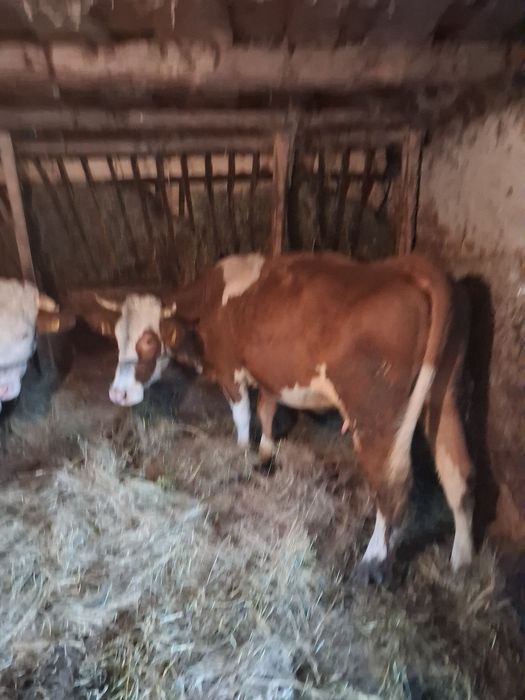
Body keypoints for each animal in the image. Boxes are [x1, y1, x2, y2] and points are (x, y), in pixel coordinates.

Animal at [78, 251, 474, 581]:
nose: (117, 393)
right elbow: (267, 412)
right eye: (117, 338)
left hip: (375, 414)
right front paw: (266, 453)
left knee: (392, 488)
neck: (211, 300)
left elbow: (242, 415)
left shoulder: (230, 370)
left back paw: (372, 560)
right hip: (444, 398)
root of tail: (408, 269)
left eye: (147, 340)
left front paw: (242, 452)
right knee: (459, 473)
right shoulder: (268, 374)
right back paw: (461, 561)